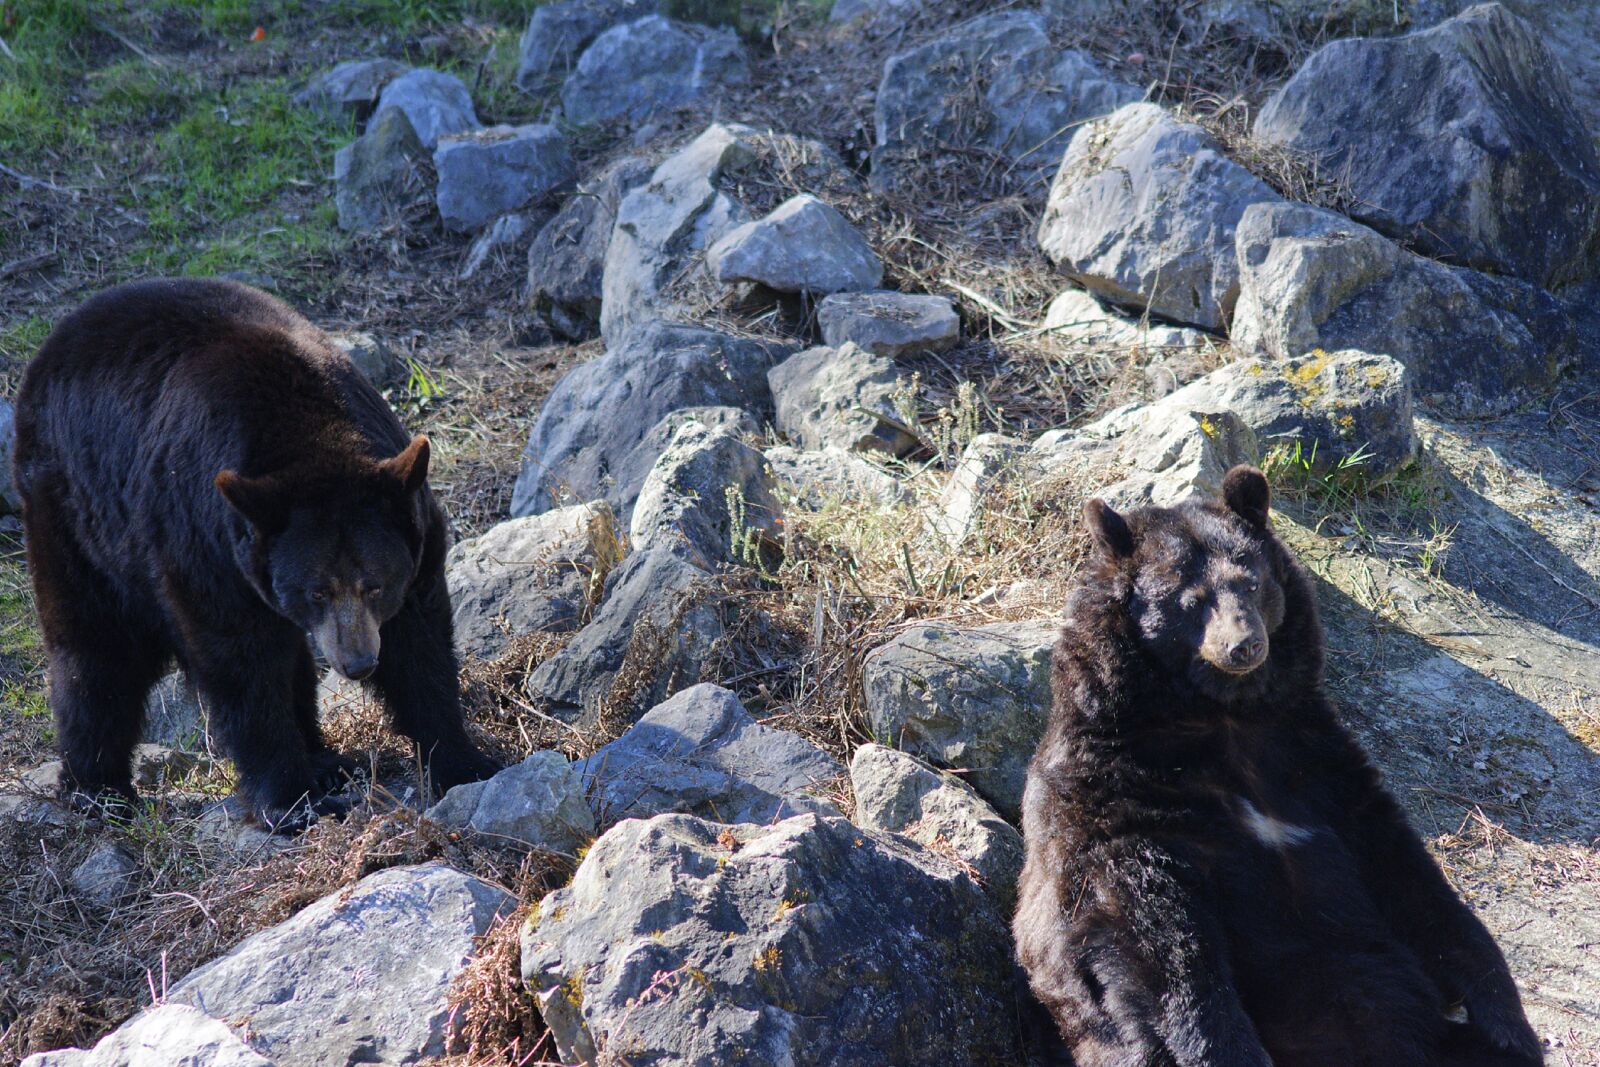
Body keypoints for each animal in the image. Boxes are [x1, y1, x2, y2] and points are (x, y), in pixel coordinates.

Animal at [13, 277, 501, 828]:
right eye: (316, 591)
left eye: (375, 584)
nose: (357, 663)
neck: (308, 436)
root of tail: (54, 345)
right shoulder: (205, 543)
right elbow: (242, 665)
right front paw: (291, 799)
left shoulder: (412, 537)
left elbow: (420, 645)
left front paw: (464, 760)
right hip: (77, 516)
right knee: (96, 650)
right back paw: (97, 788)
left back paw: (324, 759)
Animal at [1013, 465, 1540, 1067]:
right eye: (1190, 599)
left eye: (1251, 582)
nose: (1244, 645)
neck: (1223, 717)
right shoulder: (1119, 794)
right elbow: (1156, 939)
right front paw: (1224, 1045)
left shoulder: (1317, 766)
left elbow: (1410, 878)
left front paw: (1504, 1016)